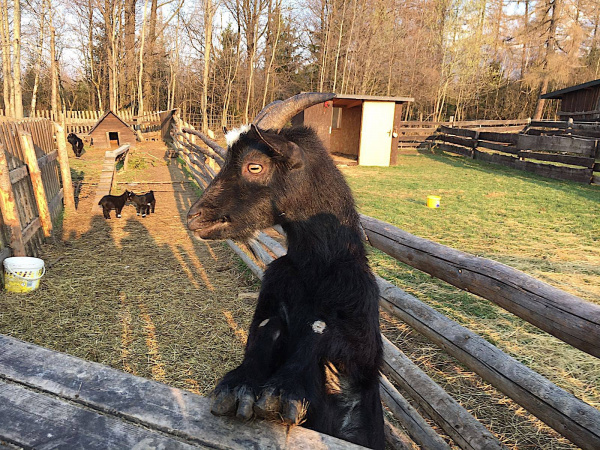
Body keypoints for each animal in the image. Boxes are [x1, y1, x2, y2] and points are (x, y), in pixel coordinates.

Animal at [186, 93, 384, 448]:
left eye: (254, 166)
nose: (194, 218)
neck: (314, 268)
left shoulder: (364, 342)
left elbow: (320, 327)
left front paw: (281, 393)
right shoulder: (272, 291)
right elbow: (269, 326)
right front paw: (240, 387)